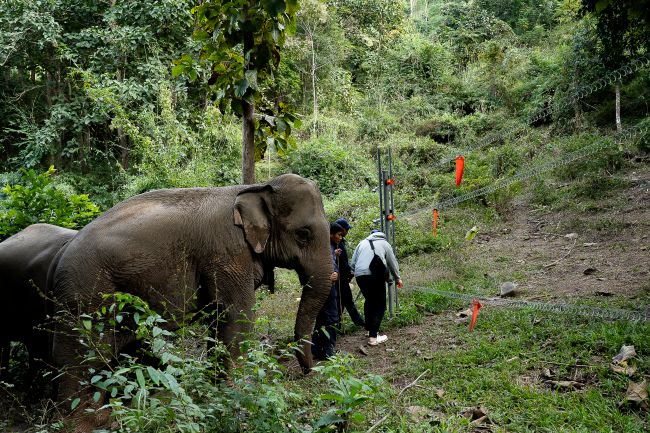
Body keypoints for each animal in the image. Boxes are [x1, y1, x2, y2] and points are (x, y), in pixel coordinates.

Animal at [50, 173, 333, 404]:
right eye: (303, 234)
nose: (307, 373)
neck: (255, 188)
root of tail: (59, 256)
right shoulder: (227, 254)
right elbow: (238, 316)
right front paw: (233, 393)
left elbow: (218, 318)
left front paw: (213, 387)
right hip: (85, 297)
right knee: (80, 361)